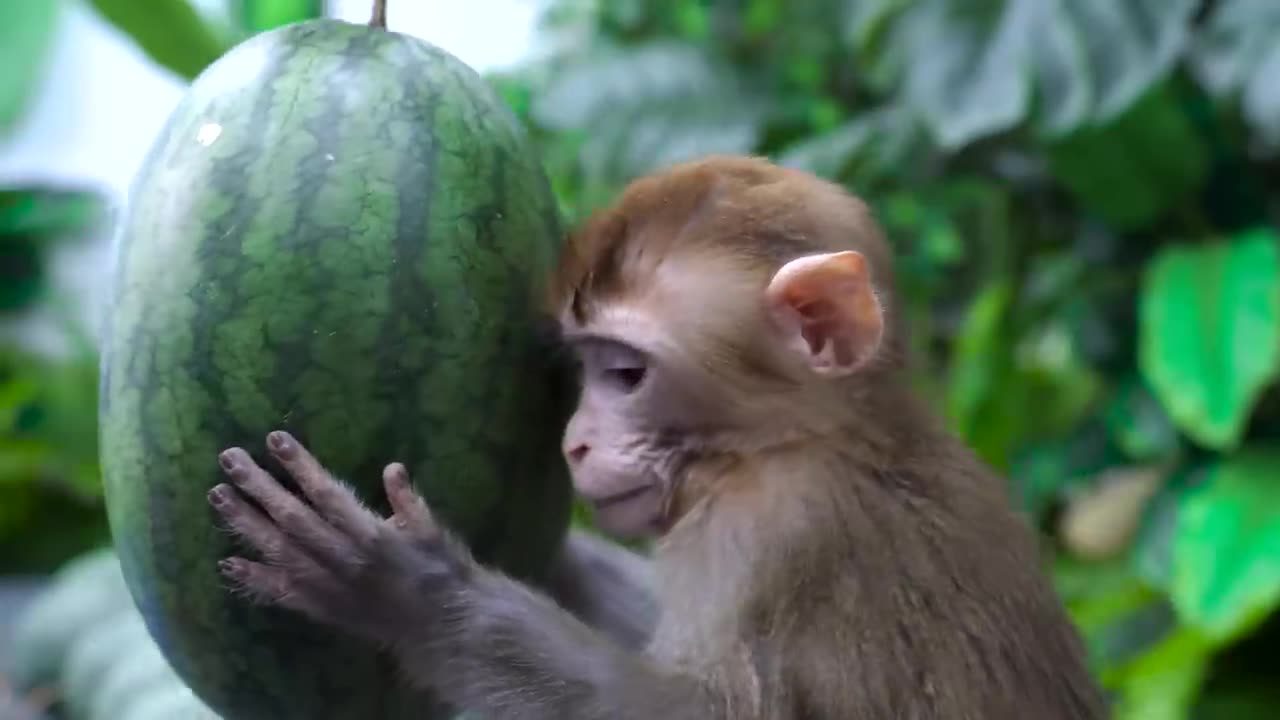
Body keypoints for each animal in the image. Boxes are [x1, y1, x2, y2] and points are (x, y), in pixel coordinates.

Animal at [204, 156, 1105, 717]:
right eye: (583, 365)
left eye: (627, 374)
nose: (574, 443)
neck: (802, 440)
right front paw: (552, 561)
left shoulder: (766, 529)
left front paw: (410, 589)